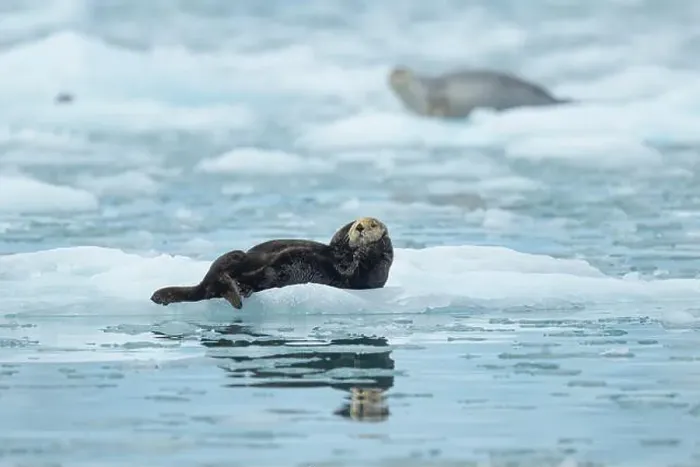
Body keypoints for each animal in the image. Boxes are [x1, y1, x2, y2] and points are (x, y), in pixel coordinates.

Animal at [150, 217, 393, 309]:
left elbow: (360, 272)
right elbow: (336, 240)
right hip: (236, 256)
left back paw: (238, 293)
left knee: (217, 286)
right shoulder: (335, 247)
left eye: (373, 224)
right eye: (358, 224)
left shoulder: (368, 272)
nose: (359, 227)